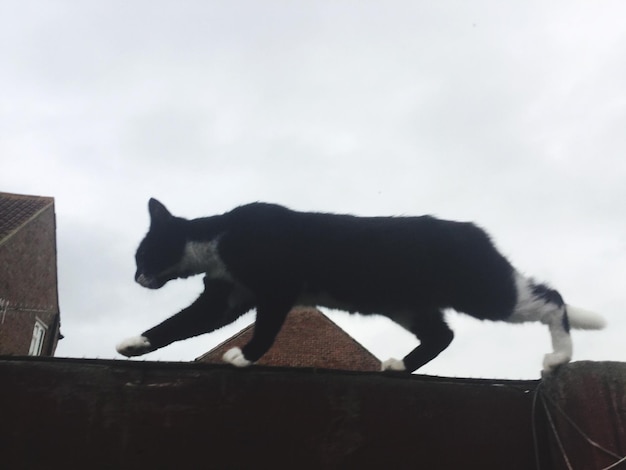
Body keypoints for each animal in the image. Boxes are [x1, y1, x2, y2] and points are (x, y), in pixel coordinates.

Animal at [114, 198, 604, 374]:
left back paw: (560, 356)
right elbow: (179, 324)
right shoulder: (227, 294)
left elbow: (268, 327)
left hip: (481, 289)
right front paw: (135, 343)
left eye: (141, 256)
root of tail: (476, 232)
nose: (136, 278)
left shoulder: (277, 286)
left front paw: (244, 356)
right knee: (442, 334)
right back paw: (400, 366)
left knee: (551, 297)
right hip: (407, 304)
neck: (219, 240)